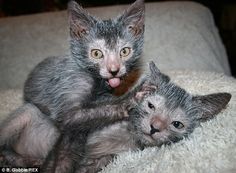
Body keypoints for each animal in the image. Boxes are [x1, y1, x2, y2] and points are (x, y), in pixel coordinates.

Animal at [0, 0, 145, 167]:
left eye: (125, 51)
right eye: (96, 53)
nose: (113, 70)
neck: (98, 82)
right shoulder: (73, 81)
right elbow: (73, 117)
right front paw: (133, 98)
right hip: (26, 112)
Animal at [42, 62, 230, 173]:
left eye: (177, 124)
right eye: (151, 106)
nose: (155, 127)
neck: (127, 134)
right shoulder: (73, 126)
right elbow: (70, 133)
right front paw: (133, 98)